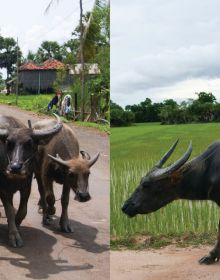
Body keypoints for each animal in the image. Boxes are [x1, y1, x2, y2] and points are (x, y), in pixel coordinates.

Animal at [0, 114, 62, 247]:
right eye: (8, 143)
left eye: (29, 143)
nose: (15, 167)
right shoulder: (3, 190)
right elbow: (9, 211)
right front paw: (14, 235)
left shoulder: (26, 186)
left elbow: (23, 211)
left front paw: (16, 225)